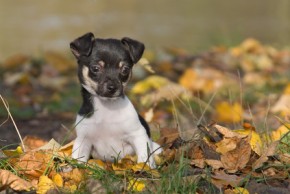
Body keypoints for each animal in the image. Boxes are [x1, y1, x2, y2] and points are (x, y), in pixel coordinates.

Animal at [69, 32, 162, 167]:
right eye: (95, 68)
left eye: (125, 69)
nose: (112, 87)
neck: (107, 107)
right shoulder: (83, 140)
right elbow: (79, 160)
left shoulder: (138, 134)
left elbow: (144, 156)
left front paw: (146, 168)